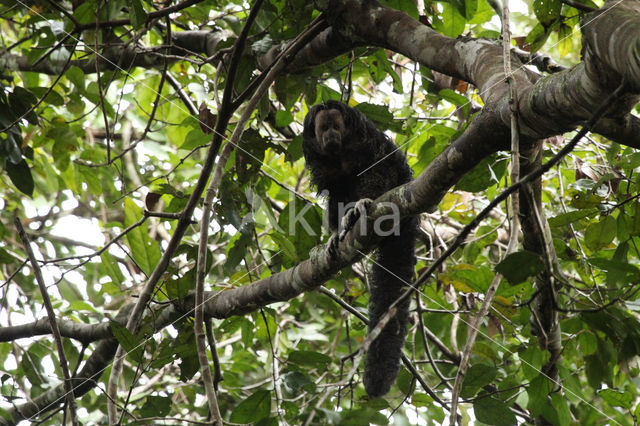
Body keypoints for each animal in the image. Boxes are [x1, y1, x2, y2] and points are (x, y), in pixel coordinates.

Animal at [302, 100, 418, 396]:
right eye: (324, 128)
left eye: (336, 125)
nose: (331, 134)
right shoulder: (318, 159)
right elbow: (334, 190)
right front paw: (334, 231)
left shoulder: (364, 141)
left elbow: (377, 168)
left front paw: (363, 203)